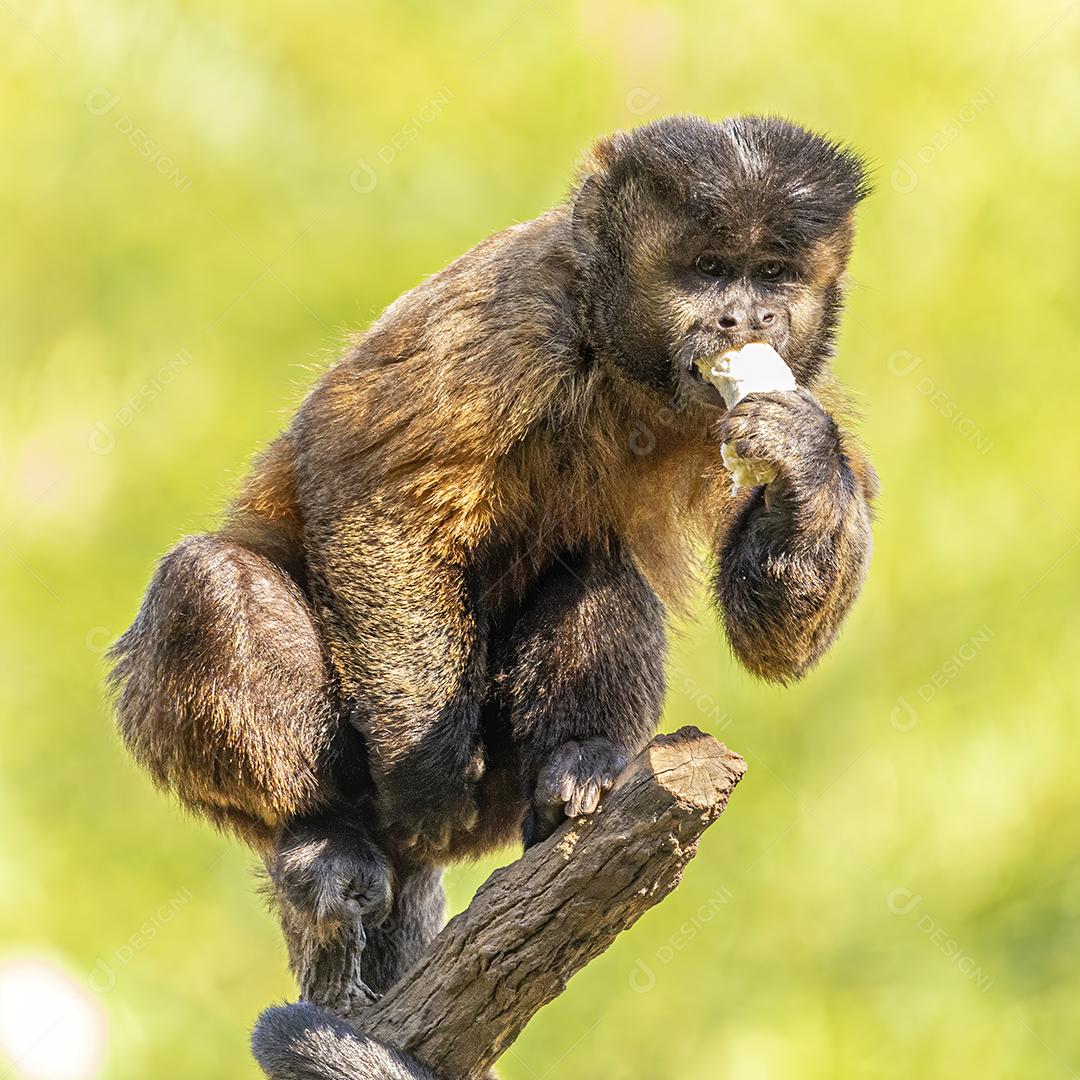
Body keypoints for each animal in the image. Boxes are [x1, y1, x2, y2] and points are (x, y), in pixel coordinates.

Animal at [109, 113, 876, 1049]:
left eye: (772, 275)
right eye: (706, 269)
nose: (746, 316)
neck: (617, 362)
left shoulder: (800, 376)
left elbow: (774, 640)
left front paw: (800, 461)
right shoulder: (508, 315)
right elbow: (378, 503)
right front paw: (428, 773)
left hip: (501, 798)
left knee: (597, 569)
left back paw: (576, 767)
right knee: (206, 580)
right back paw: (322, 834)